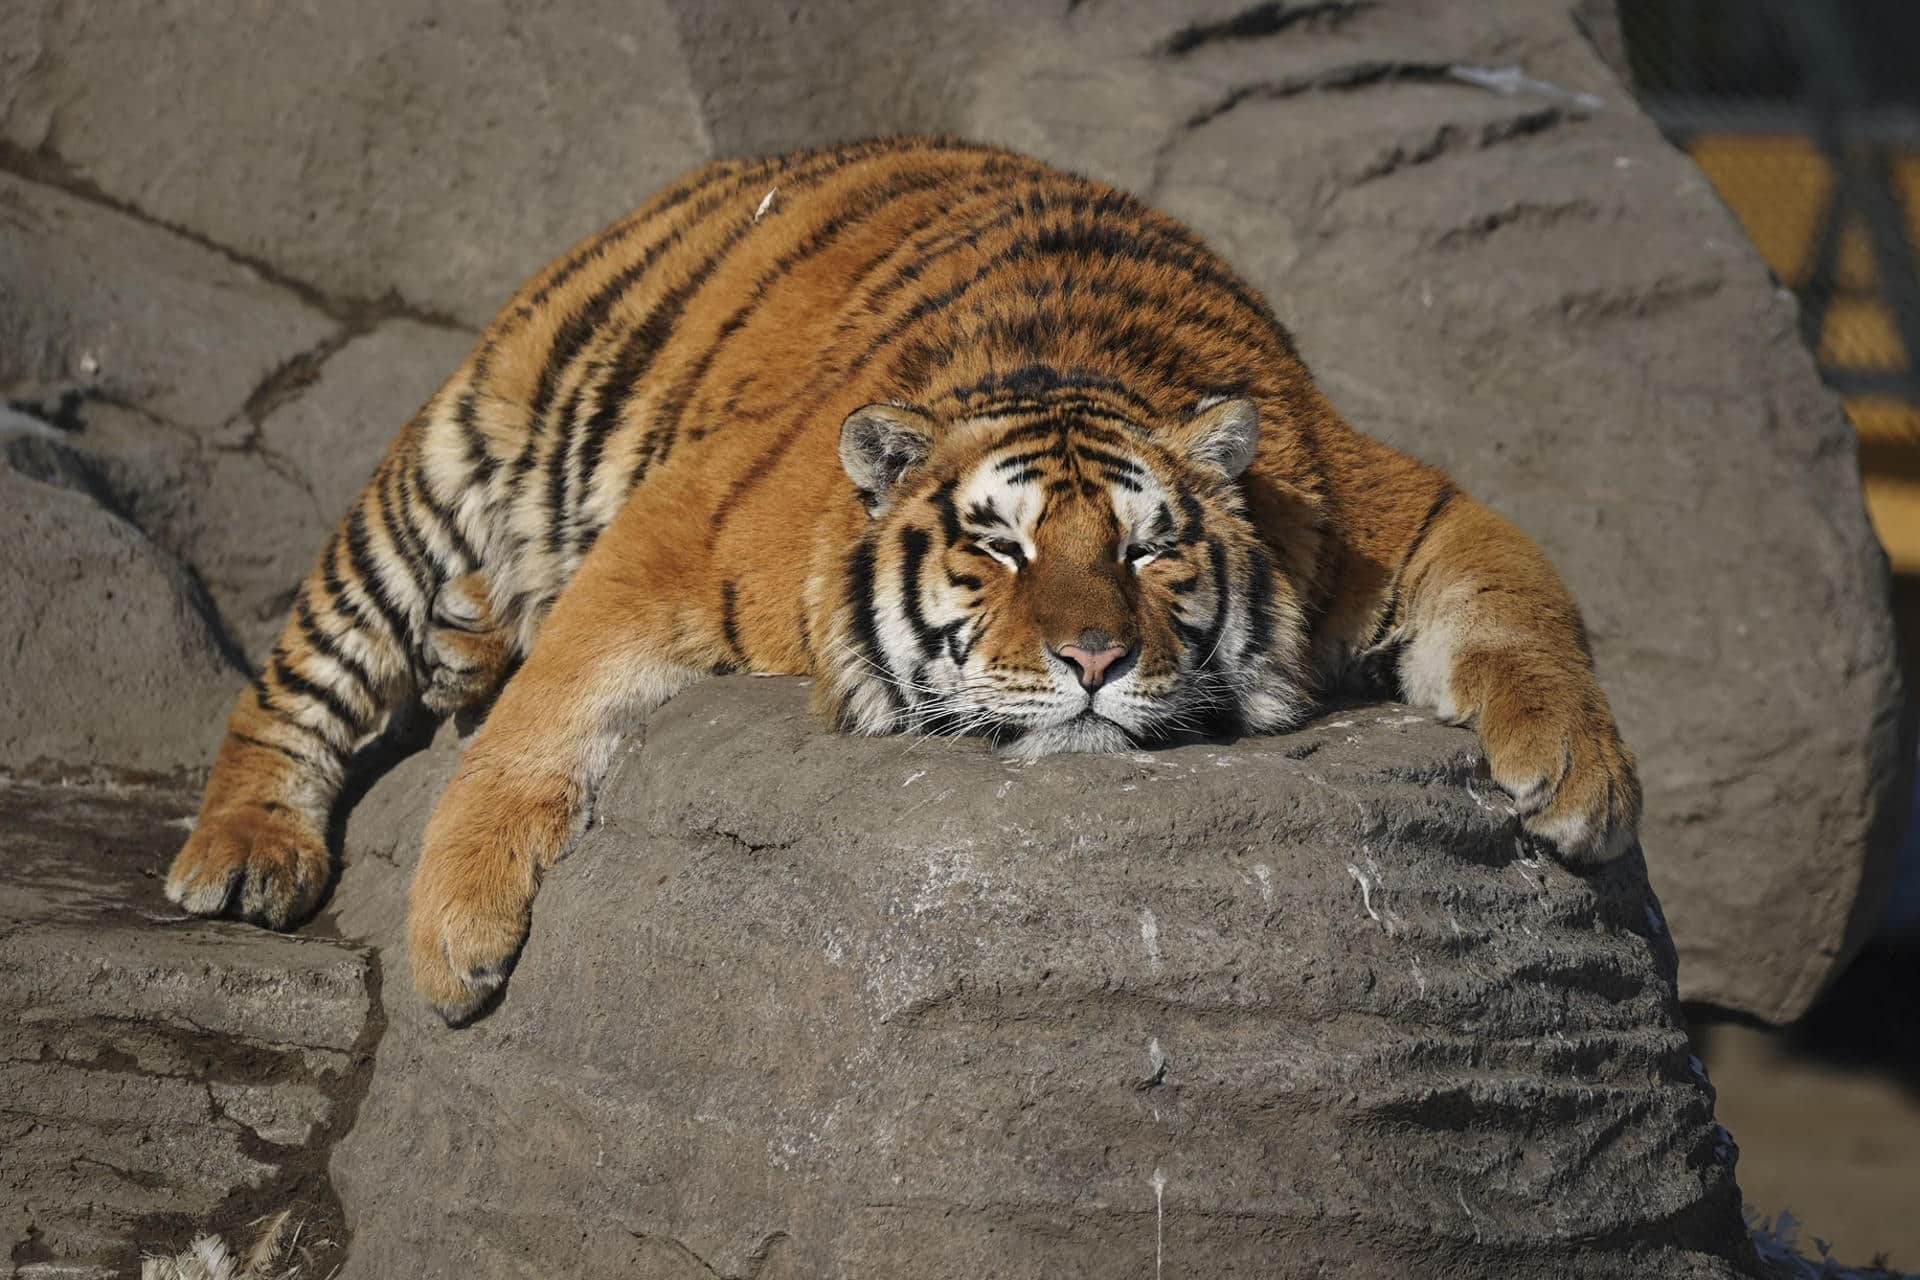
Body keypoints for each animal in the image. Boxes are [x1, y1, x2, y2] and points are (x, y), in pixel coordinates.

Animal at [162, 136, 1641, 1024]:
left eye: (1148, 549)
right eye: (999, 548)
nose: (1096, 660)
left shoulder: (1399, 507)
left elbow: (1526, 608)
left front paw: (1583, 781)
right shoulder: (680, 526)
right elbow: (549, 710)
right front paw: (455, 930)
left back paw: (468, 644)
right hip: (455, 453)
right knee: (305, 669)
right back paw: (244, 854)